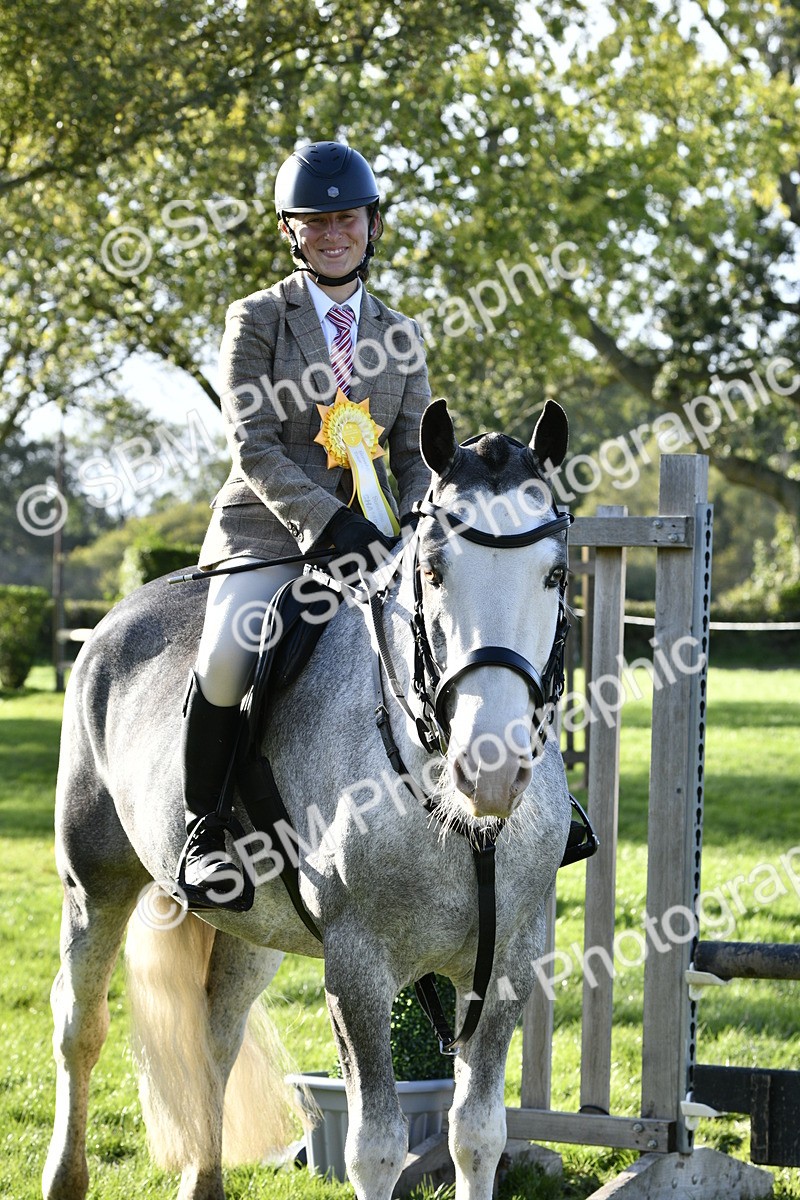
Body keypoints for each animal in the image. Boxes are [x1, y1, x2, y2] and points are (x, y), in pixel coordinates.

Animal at [43, 397, 574, 1200]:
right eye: (431, 571)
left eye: (556, 575)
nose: (489, 769)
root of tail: (120, 614)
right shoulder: (357, 970)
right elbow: (375, 1148)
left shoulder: (509, 963)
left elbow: (478, 1134)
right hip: (95, 884)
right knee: (81, 1025)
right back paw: (65, 1174)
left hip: (252, 926)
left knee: (218, 1031)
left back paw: (204, 1178)